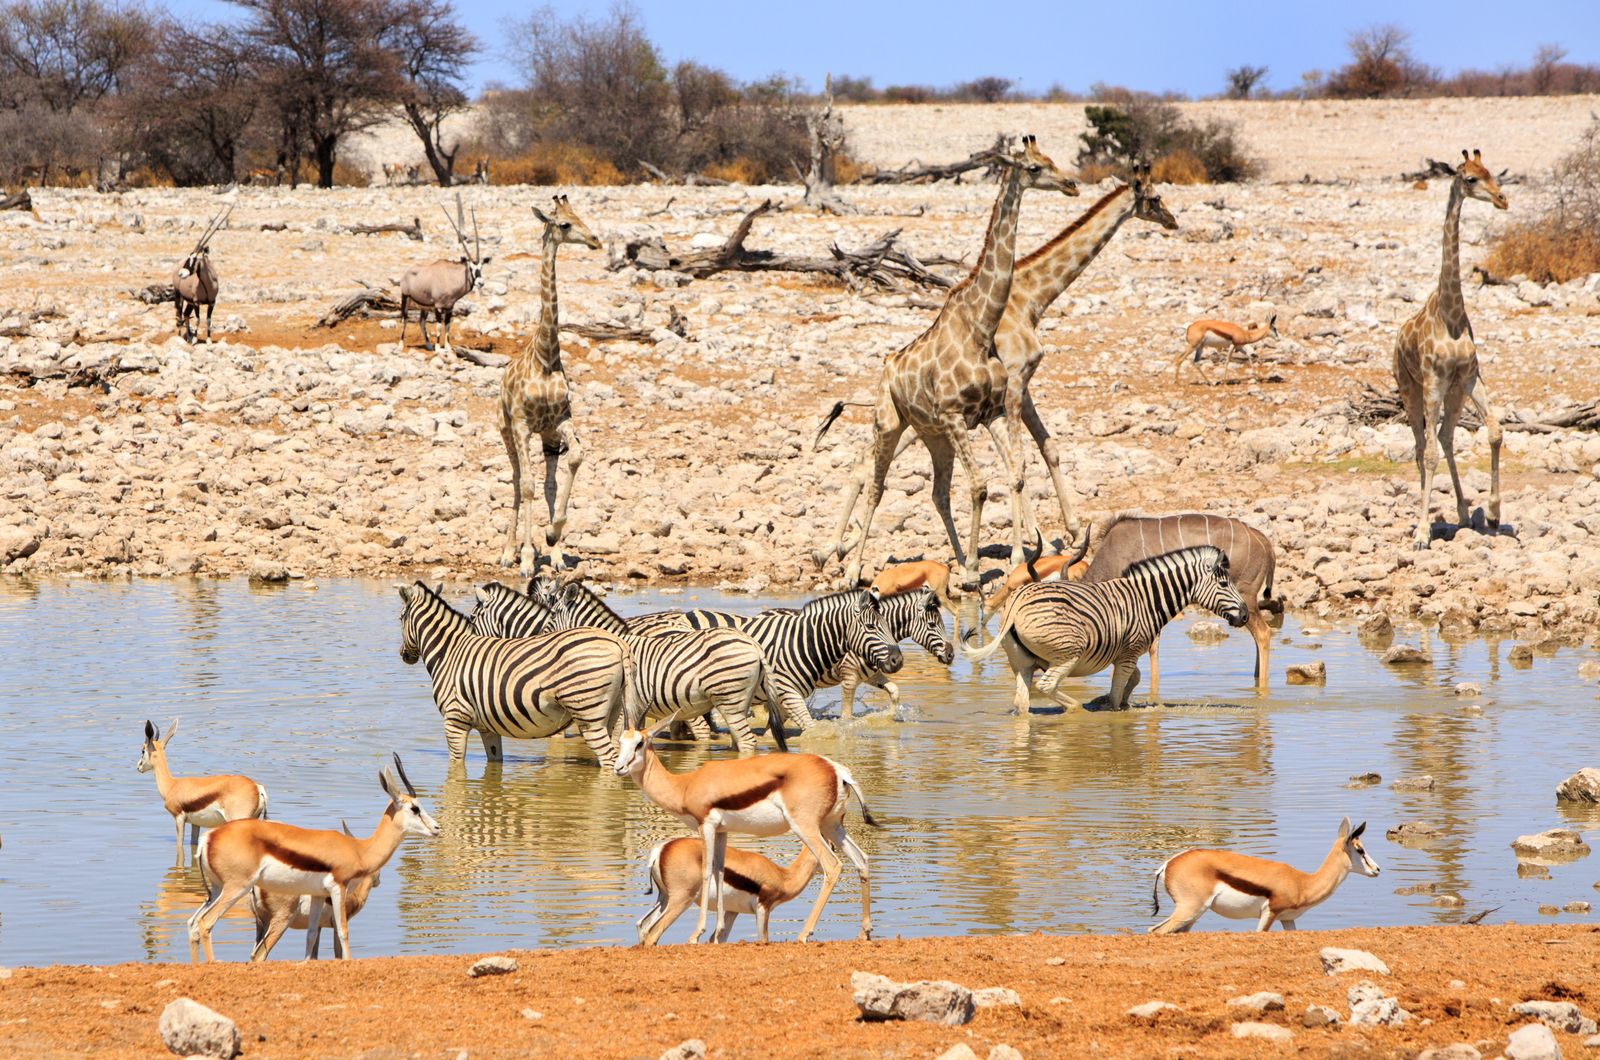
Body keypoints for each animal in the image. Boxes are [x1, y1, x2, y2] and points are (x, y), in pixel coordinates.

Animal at [396, 581, 638, 767]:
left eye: (400, 618)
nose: (403, 655)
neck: (450, 651)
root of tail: (618, 643)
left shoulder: (454, 720)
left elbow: (456, 771)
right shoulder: (488, 727)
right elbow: (494, 767)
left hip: (588, 713)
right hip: (614, 713)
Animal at [962, 546, 1248, 713]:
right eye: (1224, 584)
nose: (1245, 614)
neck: (1146, 599)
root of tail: (1018, 600)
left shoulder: (1122, 654)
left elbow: (1134, 680)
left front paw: (1109, 701)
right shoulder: (1130, 653)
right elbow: (1118, 693)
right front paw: (1111, 707)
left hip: (1021, 662)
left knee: (1022, 703)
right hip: (1068, 654)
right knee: (1046, 686)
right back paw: (1077, 708)